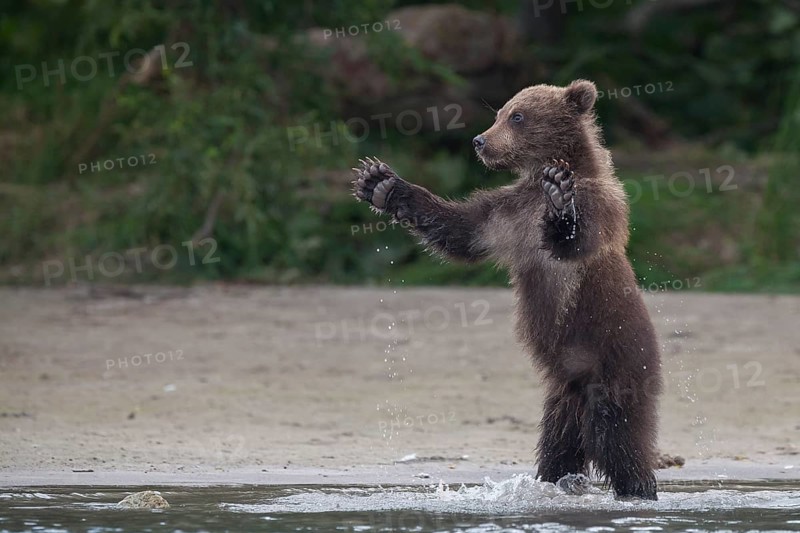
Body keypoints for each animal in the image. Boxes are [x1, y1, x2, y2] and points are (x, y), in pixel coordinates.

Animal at [352, 79, 662, 500]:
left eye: (518, 116)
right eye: (500, 112)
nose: (480, 140)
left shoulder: (598, 206)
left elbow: (574, 240)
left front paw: (560, 199)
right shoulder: (507, 215)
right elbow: (460, 230)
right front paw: (380, 183)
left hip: (615, 356)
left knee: (620, 437)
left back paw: (639, 487)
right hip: (563, 396)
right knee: (560, 444)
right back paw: (555, 480)